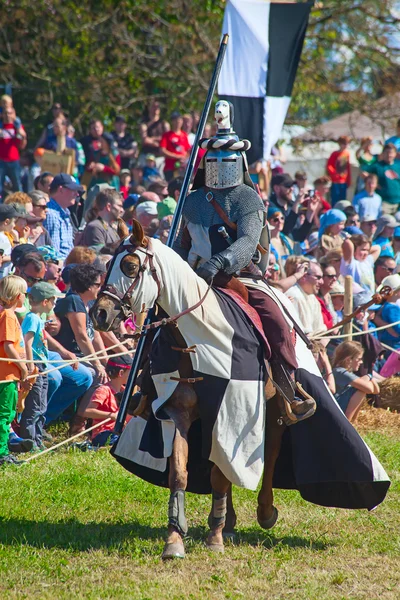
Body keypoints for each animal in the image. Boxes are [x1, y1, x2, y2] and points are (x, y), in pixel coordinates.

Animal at [90, 220, 390, 556]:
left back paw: (263, 512)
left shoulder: (232, 408)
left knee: (270, 452)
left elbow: (221, 475)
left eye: (130, 266)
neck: (195, 338)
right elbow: (181, 473)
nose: (99, 314)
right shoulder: (179, 413)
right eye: (108, 266)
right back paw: (230, 521)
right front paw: (175, 539)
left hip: (273, 408)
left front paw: (215, 537)